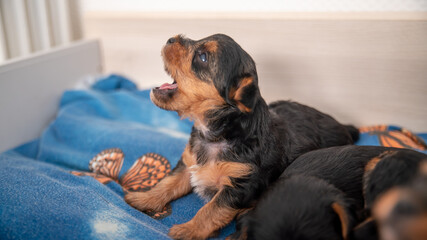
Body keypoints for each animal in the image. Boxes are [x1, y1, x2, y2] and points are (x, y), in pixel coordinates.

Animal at [124, 32, 358, 239]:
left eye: (202, 57)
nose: (170, 39)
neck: (217, 131)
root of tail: (344, 126)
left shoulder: (241, 184)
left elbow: (212, 209)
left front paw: (188, 230)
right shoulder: (188, 163)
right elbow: (168, 182)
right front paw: (143, 198)